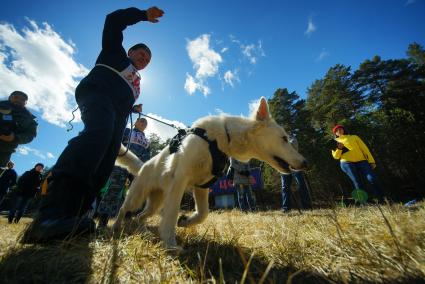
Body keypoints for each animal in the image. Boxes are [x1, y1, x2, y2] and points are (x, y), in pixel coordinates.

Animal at [112, 97, 304, 248]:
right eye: (284, 138)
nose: (305, 163)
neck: (222, 139)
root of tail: (143, 165)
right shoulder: (179, 181)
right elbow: (171, 215)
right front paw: (170, 245)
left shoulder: (202, 187)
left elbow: (203, 214)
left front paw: (186, 221)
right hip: (136, 198)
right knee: (123, 209)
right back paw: (115, 228)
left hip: (155, 203)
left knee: (140, 216)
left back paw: (144, 232)